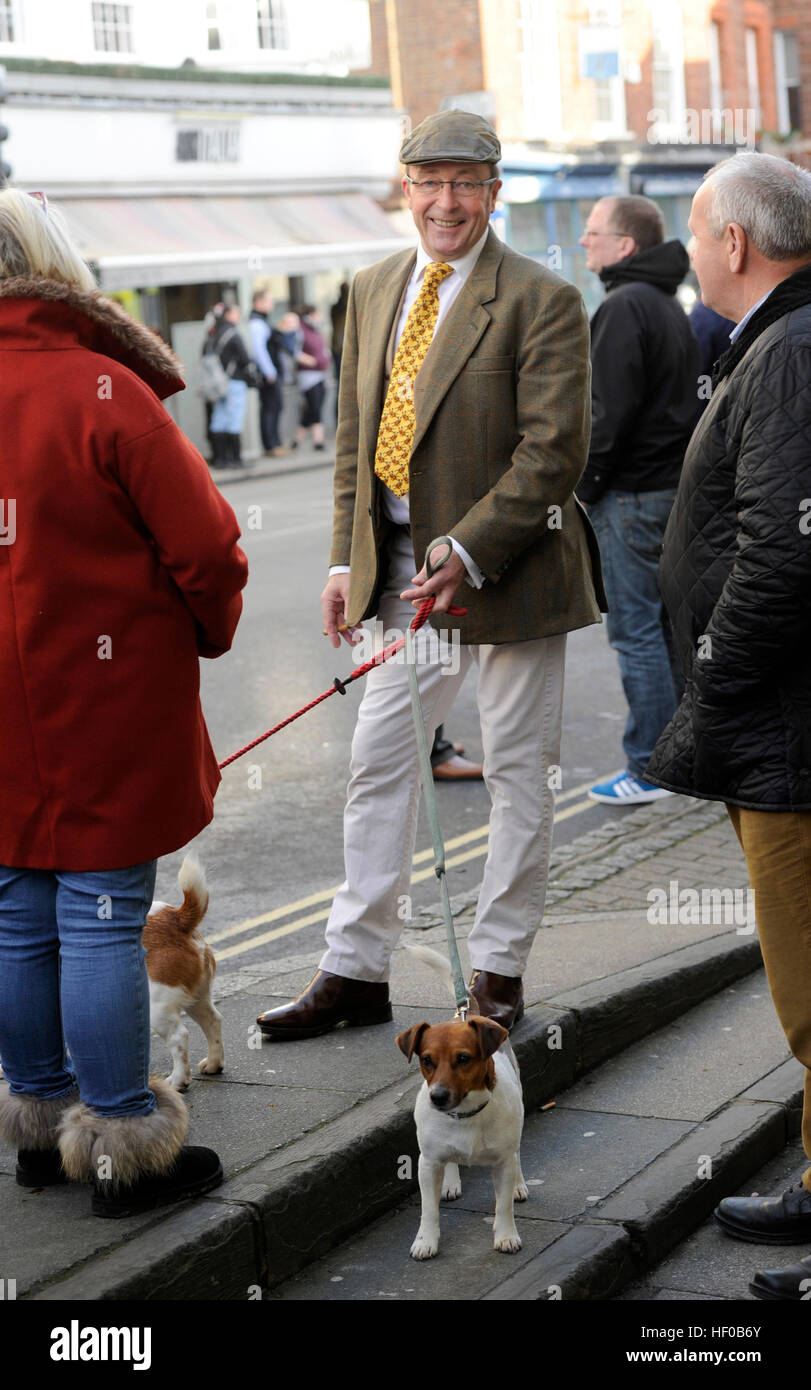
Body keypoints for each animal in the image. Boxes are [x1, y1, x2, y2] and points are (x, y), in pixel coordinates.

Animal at [144, 850, 223, 1089]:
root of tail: (175, 918)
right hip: (197, 997)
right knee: (213, 1021)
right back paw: (214, 1064)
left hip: (157, 1006)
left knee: (179, 1037)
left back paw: (177, 1081)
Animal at [397, 945, 525, 1262]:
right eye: (426, 1060)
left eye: (464, 1058)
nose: (438, 1096)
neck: (465, 1115)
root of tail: (465, 1014)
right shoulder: (428, 1163)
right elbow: (428, 1209)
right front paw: (426, 1240)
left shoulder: (502, 1162)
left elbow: (503, 1204)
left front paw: (506, 1235)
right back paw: (451, 1181)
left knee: (517, 1155)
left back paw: (519, 1184)